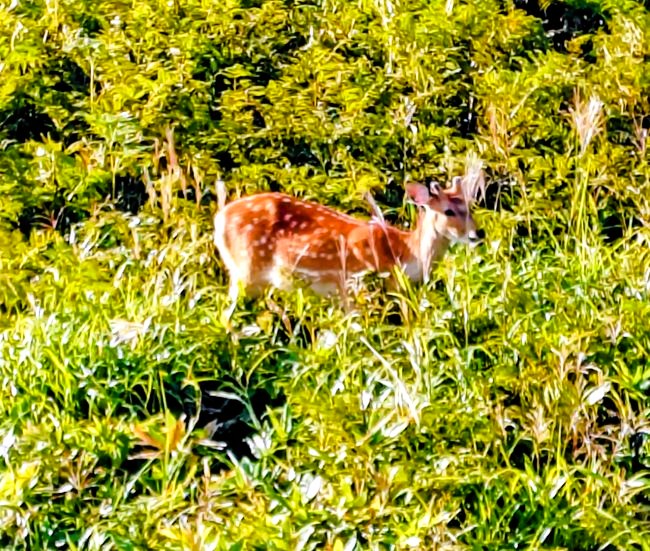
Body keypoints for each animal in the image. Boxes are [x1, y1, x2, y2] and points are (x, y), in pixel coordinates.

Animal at [213, 176, 483, 320]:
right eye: (448, 211)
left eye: (470, 206)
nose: (477, 233)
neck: (404, 255)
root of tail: (219, 218)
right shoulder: (353, 287)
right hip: (245, 270)